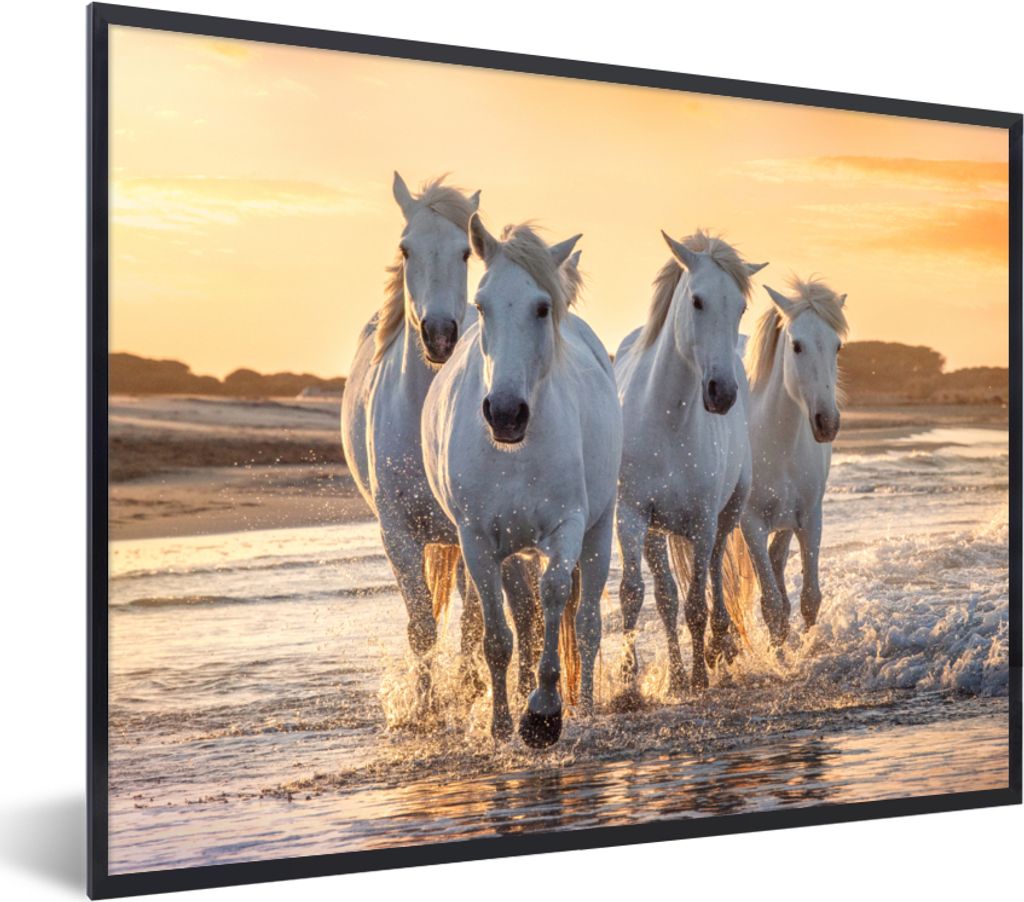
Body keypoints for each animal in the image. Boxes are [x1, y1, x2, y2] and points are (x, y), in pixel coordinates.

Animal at [341, 173, 536, 713]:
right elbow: (422, 627)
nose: (440, 335)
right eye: (405, 248)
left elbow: (473, 621)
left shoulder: (474, 533)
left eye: (464, 253)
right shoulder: (397, 535)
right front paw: (424, 707)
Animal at [422, 216, 622, 748]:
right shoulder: (477, 541)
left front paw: (543, 714)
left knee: (587, 623)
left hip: (599, 531)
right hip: (513, 551)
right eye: (481, 304)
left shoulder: (567, 527)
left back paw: (586, 707)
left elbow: (556, 598)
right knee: (526, 621)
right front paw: (500, 724)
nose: (506, 413)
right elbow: (498, 636)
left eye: (542, 307)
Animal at [614, 230, 767, 695]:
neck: (667, 418)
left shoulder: (702, 522)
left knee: (715, 572)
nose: (722, 393)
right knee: (665, 596)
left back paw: (719, 646)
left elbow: (697, 601)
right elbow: (635, 594)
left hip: (726, 514)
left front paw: (700, 675)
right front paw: (628, 686)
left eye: (740, 307)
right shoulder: (632, 516)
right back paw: (678, 674)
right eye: (697, 301)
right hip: (656, 531)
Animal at [740, 277, 848, 645]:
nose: (827, 423)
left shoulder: (810, 518)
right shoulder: (751, 525)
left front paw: (808, 650)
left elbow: (810, 598)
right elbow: (772, 606)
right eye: (797, 346)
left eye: (837, 347)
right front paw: (781, 655)